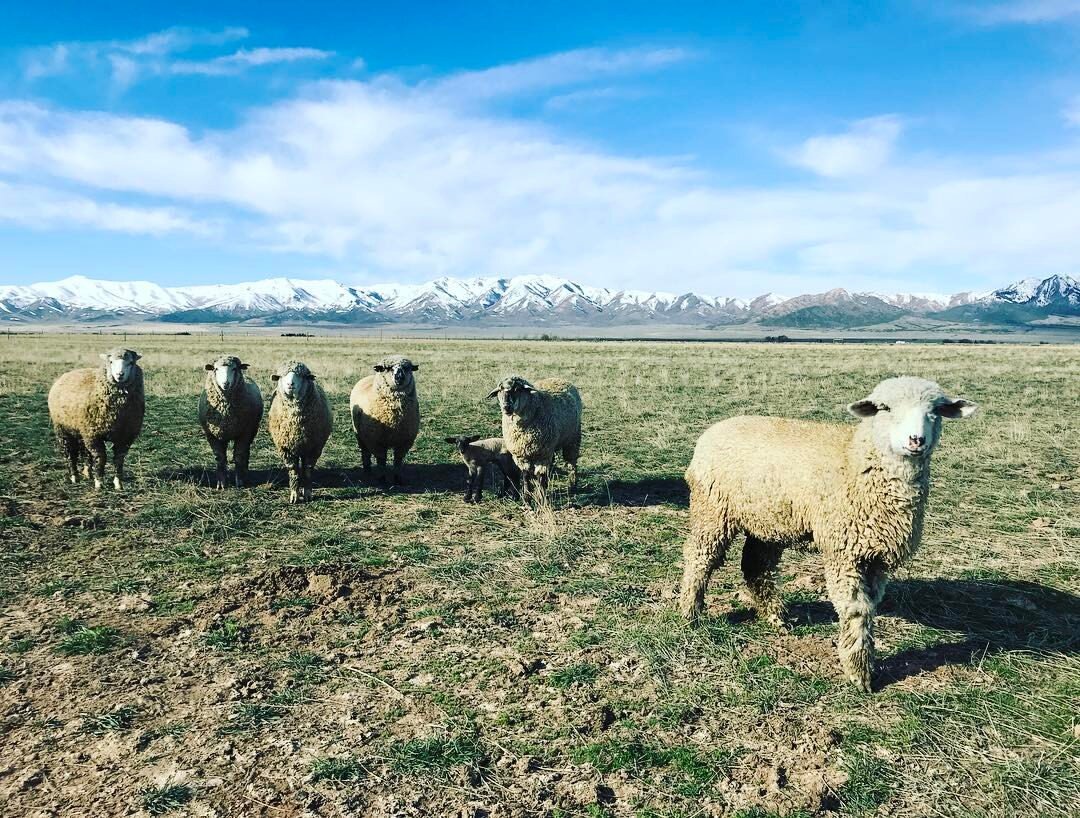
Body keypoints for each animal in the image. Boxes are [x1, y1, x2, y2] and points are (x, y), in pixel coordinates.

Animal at [47, 348, 145, 490]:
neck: (116, 413)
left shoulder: (125, 437)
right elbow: (101, 457)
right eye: (110, 362)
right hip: (63, 429)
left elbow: (119, 459)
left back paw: (87, 472)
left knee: (85, 451)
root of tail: (66, 374)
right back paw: (74, 476)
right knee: (70, 453)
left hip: (81, 430)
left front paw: (118, 483)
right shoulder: (93, 435)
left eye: (131, 363)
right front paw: (99, 482)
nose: (120, 375)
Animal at [198, 355, 264, 489]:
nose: (226, 383)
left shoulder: (244, 433)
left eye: (234, 369)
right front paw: (221, 483)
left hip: (252, 431)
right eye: (216, 369)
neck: (225, 409)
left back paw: (245, 472)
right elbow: (220, 458)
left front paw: (239, 481)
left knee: (246, 453)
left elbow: (239, 456)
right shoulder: (212, 434)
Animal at [267, 360, 333, 503]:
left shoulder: (313, 448)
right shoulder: (286, 449)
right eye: (281, 376)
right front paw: (294, 495)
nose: (290, 384)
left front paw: (307, 493)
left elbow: (307, 471)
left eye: (302, 376)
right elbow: (293, 472)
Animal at [350, 356, 420, 485]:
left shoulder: (404, 441)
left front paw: (397, 479)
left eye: (407, 368)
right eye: (386, 368)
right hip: (359, 434)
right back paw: (367, 471)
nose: (399, 377)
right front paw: (382, 478)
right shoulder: (377, 441)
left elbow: (398, 462)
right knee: (365, 453)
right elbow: (381, 461)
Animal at [679, 376, 976, 692]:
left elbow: (870, 606)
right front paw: (859, 672)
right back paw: (690, 613)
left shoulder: (876, 558)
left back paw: (776, 618)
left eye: (937, 410)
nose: (916, 440)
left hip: (768, 521)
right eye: (884, 408)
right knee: (700, 558)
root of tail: (712, 430)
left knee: (756, 567)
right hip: (712, 510)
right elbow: (856, 609)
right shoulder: (844, 551)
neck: (855, 458)